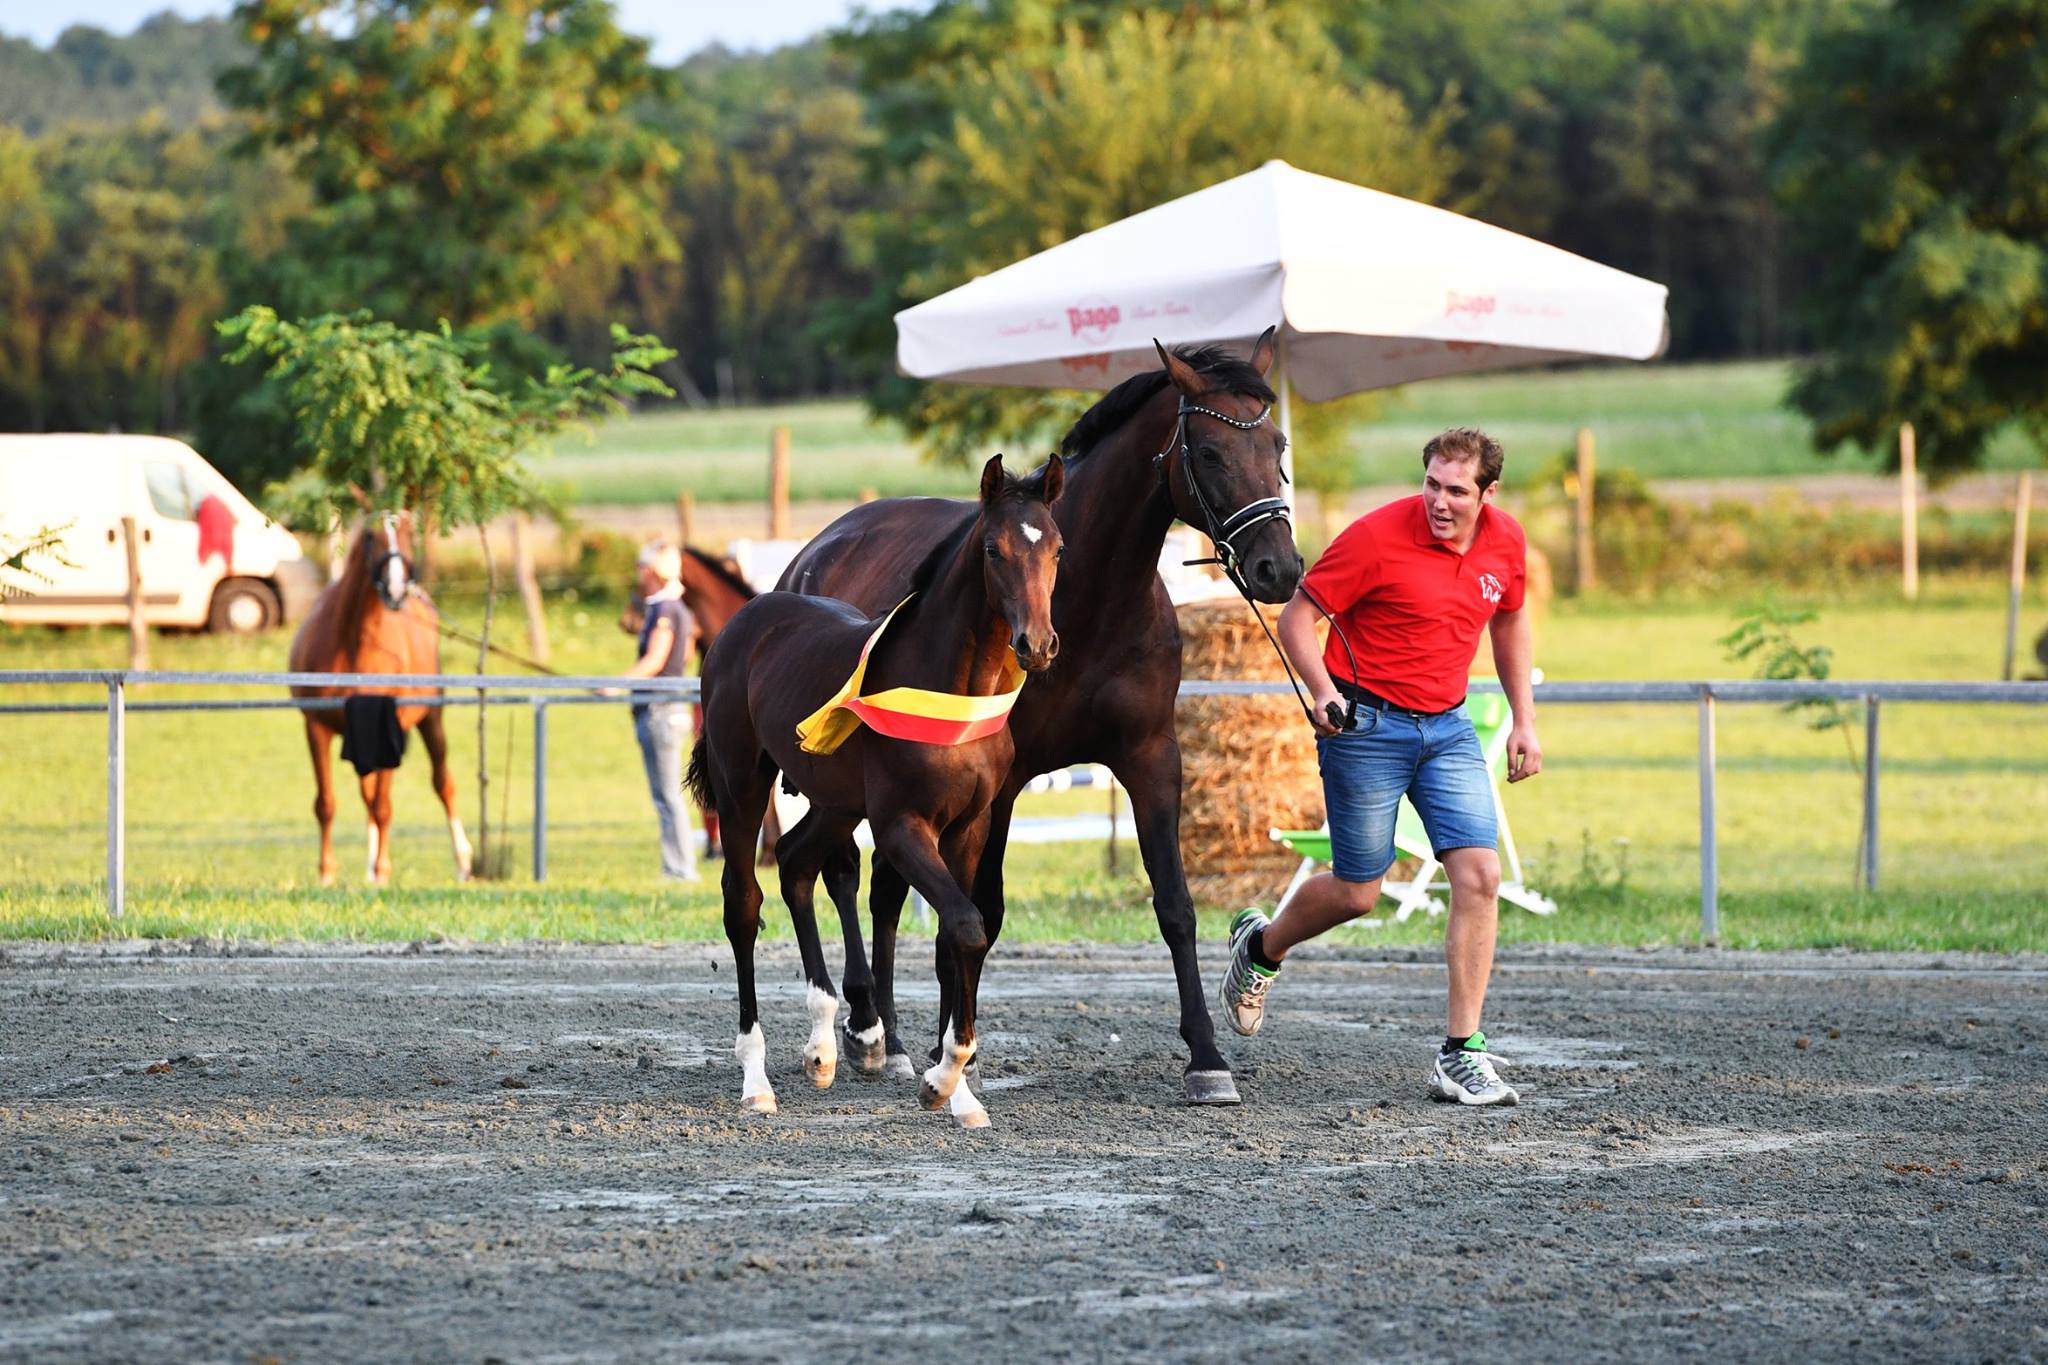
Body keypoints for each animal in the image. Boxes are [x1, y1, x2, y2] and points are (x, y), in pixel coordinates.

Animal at [288, 511, 468, 888]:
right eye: (371, 536)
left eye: (409, 534)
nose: (397, 588)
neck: (355, 642)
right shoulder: (317, 728)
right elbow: (326, 803)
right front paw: (327, 873)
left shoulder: (388, 727)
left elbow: (384, 806)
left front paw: (384, 870)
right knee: (367, 794)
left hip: (431, 721)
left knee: (443, 784)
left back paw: (462, 861)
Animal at [692, 458, 1073, 1129]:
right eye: (994, 549)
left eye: (1055, 547)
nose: (1038, 644)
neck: (952, 690)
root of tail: (745, 618)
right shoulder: (902, 826)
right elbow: (966, 925)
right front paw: (941, 1079)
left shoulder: (970, 826)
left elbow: (956, 937)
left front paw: (957, 1093)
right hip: (742, 785)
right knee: (743, 904)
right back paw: (757, 1081)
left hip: (837, 801)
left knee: (796, 861)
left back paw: (824, 1046)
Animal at [774, 333, 1302, 1113]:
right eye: (1208, 451)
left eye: (1276, 444)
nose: (1278, 567)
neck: (1090, 605)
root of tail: (814, 552)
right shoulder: (1001, 785)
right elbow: (978, 914)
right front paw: (950, 1051)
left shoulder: (1152, 757)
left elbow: (1175, 904)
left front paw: (1207, 1058)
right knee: (851, 877)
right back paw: (877, 1032)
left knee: (880, 889)